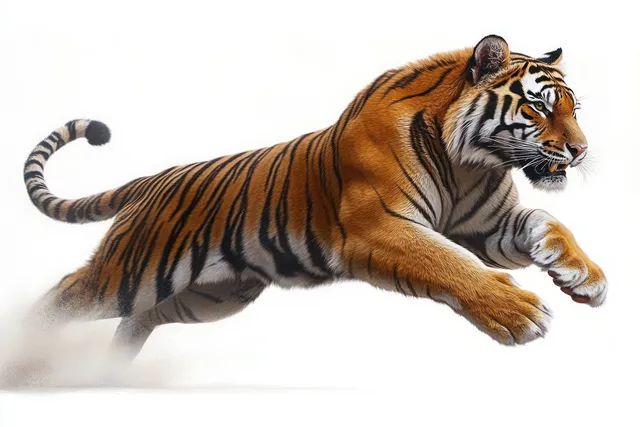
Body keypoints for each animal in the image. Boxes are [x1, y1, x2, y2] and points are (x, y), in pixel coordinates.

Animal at [21, 35, 607, 363]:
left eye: (574, 108)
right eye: (539, 107)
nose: (581, 151)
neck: (470, 162)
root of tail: (154, 178)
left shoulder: (489, 227)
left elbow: (548, 221)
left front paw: (586, 277)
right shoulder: (380, 227)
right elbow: (448, 264)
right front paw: (517, 313)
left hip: (211, 296)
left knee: (137, 321)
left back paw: (110, 371)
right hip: (132, 271)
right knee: (61, 299)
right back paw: (26, 360)